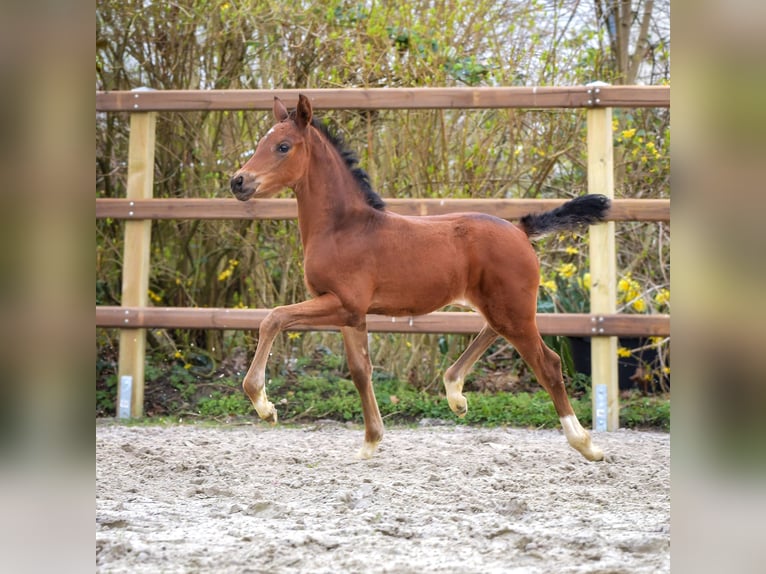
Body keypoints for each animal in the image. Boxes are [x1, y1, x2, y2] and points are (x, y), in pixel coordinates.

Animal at [231, 94, 608, 464]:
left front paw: (264, 406)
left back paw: (586, 444)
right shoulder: (350, 314)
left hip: (512, 309)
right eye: (261, 142)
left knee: (548, 363)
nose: (238, 181)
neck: (343, 228)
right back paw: (455, 392)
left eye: (283, 146)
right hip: (500, 306)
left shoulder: (343, 304)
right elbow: (360, 370)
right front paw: (371, 441)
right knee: (494, 331)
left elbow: (274, 318)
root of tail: (520, 230)